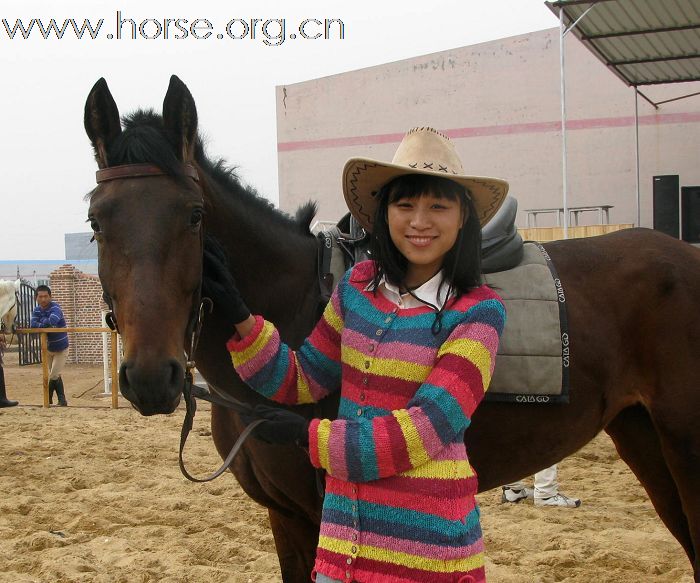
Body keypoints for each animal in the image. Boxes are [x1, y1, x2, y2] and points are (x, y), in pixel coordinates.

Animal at [84, 76, 700, 582]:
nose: (150, 378)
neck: (294, 302)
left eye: (193, 215)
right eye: (96, 220)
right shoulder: (286, 518)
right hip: (643, 438)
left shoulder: (317, 512)